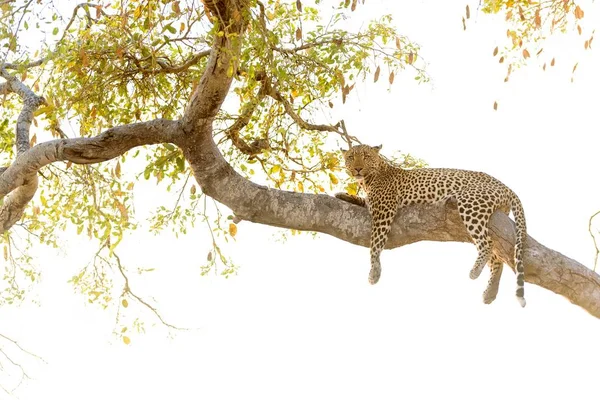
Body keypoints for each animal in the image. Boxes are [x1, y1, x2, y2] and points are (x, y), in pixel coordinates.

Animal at [336, 144, 528, 306]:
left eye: (366, 156)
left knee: (487, 244)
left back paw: (475, 271)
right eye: (351, 157)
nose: (358, 168)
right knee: (497, 256)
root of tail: (505, 186)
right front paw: (343, 195)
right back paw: (490, 291)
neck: (368, 180)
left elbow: (375, 243)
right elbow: (362, 201)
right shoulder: (372, 205)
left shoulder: (384, 211)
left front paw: (374, 272)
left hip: (470, 202)